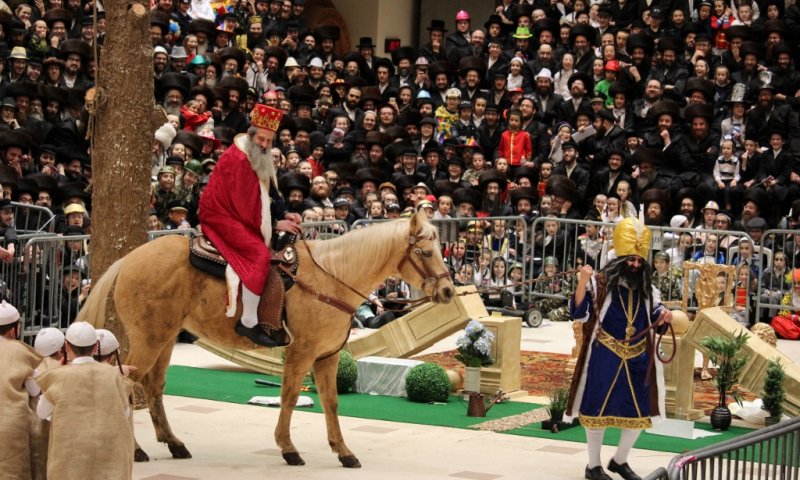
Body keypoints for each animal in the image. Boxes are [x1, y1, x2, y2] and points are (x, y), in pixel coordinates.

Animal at [77, 214, 454, 468]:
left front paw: (343, 452)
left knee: (154, 387)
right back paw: (136, 450)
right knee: (127, 385)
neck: (332, 277)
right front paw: (288, 448)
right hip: (149, 339)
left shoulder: (328, 357)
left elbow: (331, 403)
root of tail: (130, 258)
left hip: (165, 338)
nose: (449, 291)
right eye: (425, 253)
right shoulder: (301, 353)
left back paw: (173, 443)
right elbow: (289, 397)